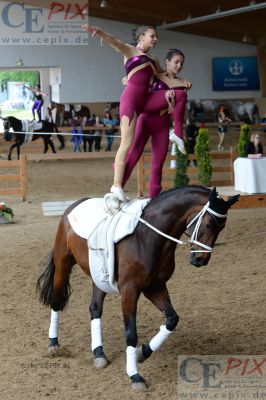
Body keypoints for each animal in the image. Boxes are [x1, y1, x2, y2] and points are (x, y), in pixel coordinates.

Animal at [37, 186, 239, 390]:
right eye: (208, 224)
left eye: (221, 227)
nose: (200, 260)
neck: (148, 237)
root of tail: (74, 205)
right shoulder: (129, 291)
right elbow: (131, 334)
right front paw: (135, 376)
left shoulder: (155, 287)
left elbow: (172, 319)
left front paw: (143, 353)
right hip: (63, 264)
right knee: (56, 300)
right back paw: (53, 344)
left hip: (99, 278)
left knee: (95, 308)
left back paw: (99, 354)